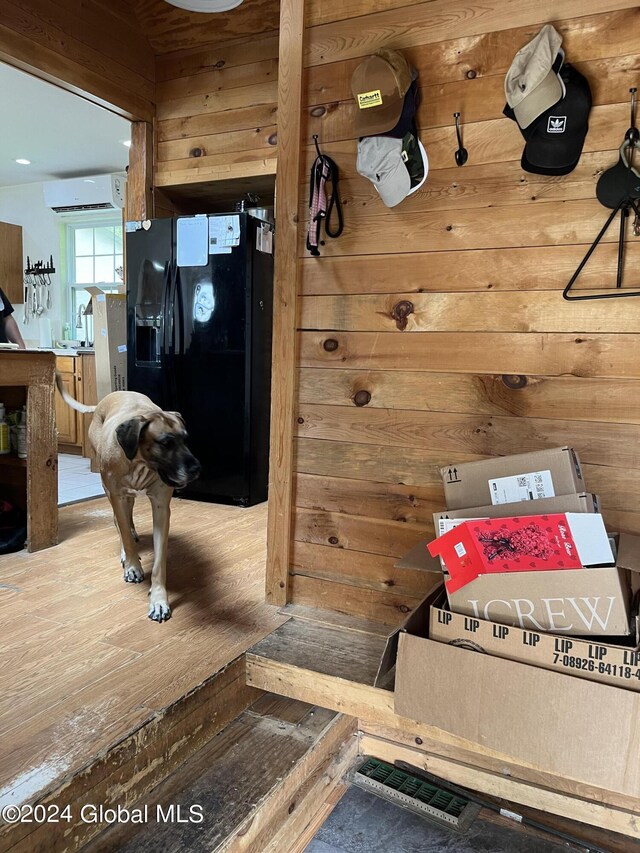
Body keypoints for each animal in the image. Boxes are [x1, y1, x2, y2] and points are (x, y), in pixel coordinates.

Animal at [57, 376, 200, 624]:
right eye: (165, 443)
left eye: (185, 439)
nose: (196, 469)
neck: (139, 461)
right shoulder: (117, 495)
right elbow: (123, 529)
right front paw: (132, 566)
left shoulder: (161, 506)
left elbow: (159, 560)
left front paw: (159, 599)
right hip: (110, 490)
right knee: (119, 522)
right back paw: (126, 551)